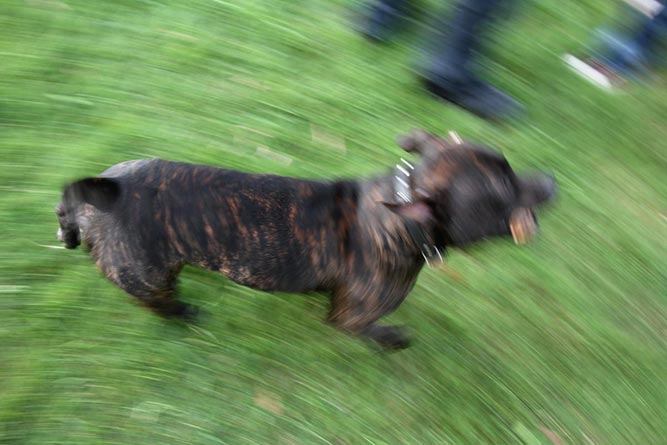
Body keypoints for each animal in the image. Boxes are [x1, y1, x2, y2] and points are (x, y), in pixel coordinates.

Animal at [56, 130, 560, 348]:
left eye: (508, 164)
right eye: (501, 192)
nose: (553, 181)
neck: (404, 205)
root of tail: (104, 192)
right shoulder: (353, 317)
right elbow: (372, 331)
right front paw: (396, 339)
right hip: (148, 277)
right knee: (158, 303)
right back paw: (185, 314)